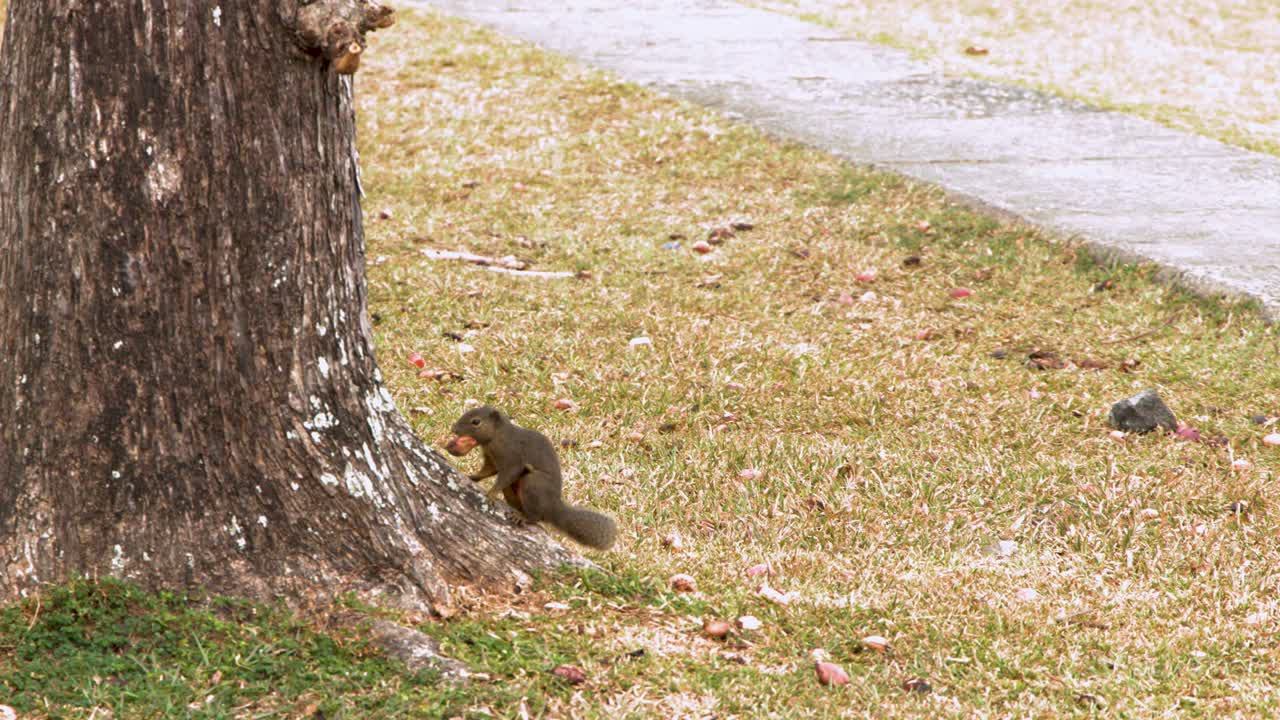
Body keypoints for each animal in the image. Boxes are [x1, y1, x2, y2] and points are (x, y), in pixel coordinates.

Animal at [446, 406, 617, 550]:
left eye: (476, 422)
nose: (453, 428)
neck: (497, 437)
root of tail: (553, 508)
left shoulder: (512, 458)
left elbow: (507, 474)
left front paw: (492, 494)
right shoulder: (491, 459)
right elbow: (487, 471)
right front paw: (472, 477)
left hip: (532, 483)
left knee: (536, 517)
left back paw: (523, 518)